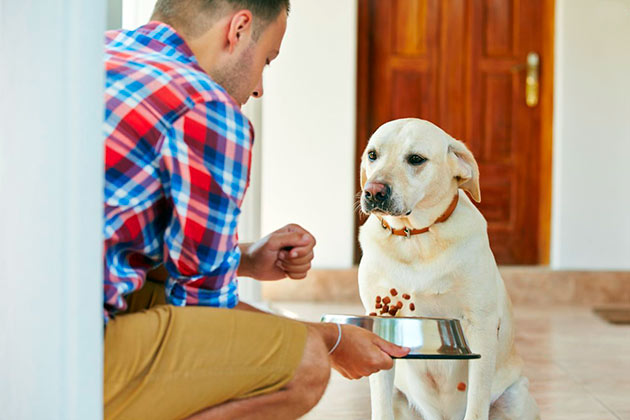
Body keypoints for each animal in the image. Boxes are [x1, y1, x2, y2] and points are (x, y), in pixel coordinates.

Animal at [358, 118, 540, 420]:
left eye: (416, 159)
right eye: (373, 155)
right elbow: (380, 406)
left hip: (515, 396)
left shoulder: (480, 325)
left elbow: (476, 404)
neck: (415, 237)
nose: (373, 191)